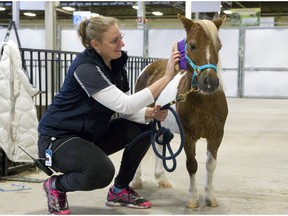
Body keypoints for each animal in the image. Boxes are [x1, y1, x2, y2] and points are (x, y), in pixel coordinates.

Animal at [132, 14, 228, 208]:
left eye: (219, 46)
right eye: (192, 45)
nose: (210, 83)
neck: (205, 103)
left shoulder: (216, 135)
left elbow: (210, 165)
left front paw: (210, 197)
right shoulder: (188, 136)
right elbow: (192, 164)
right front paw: (192, 198)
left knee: (159, 143)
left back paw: (162, 178)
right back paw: (136, 181)